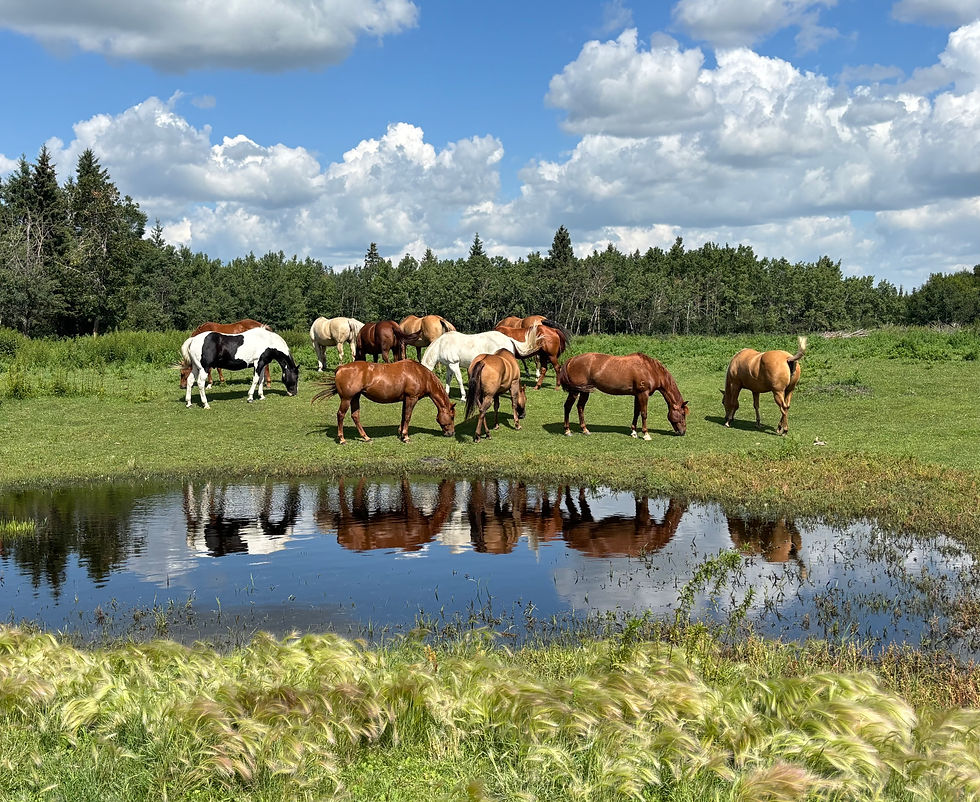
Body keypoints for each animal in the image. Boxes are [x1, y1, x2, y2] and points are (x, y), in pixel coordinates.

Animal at [312, 360, 456, 444]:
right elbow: (408, 417)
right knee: (341, 415)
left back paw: (366, 437)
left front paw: (401, 433)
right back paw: (342, 439)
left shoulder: (405, 399)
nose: (451, 433)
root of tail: (341, 368)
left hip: (355, 397)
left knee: (355, 415)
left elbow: (403, 416)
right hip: (347, 399)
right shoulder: (411, 398)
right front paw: (405, 436)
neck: (420, 374)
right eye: (452, 416)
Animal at [558, 352, 689, 439]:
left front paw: (634, 432)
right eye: (682, 414)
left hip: (585, 391)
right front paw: (646, 434)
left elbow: (636, 412)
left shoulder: (637, 395)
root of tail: (572, 360)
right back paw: (567, 431)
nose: (683, 432)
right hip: (575, 391)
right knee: (567, 406)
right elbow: (644, 414)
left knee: (580, 407)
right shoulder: (643, 394)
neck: (650, 369)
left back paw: (585, 430)